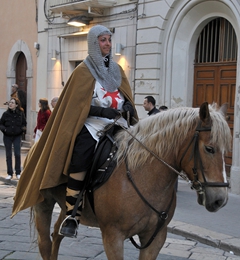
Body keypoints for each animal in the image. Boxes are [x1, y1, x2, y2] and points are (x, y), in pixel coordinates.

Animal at [30, 101, 231, 260]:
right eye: (209, 148)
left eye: (225, 150)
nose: (220, 200)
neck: (143, 176)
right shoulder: (113, 237)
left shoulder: (155, 238)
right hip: (43, 204)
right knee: (45, 243)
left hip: (65, 208)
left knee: (57, 234)